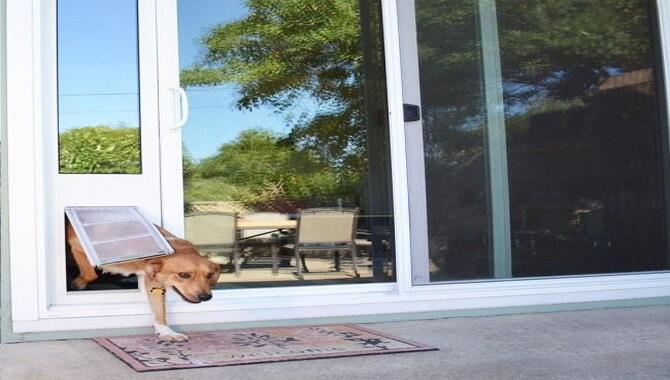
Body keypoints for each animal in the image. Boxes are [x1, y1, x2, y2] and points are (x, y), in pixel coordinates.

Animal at [65, 221, 219, 342]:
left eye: (209, 275)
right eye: (184, 275)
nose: (206, 297)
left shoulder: (154, 281)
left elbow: (159, 309)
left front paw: (166, 331)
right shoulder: (77, 246)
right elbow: (90, 274)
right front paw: (77, 284)